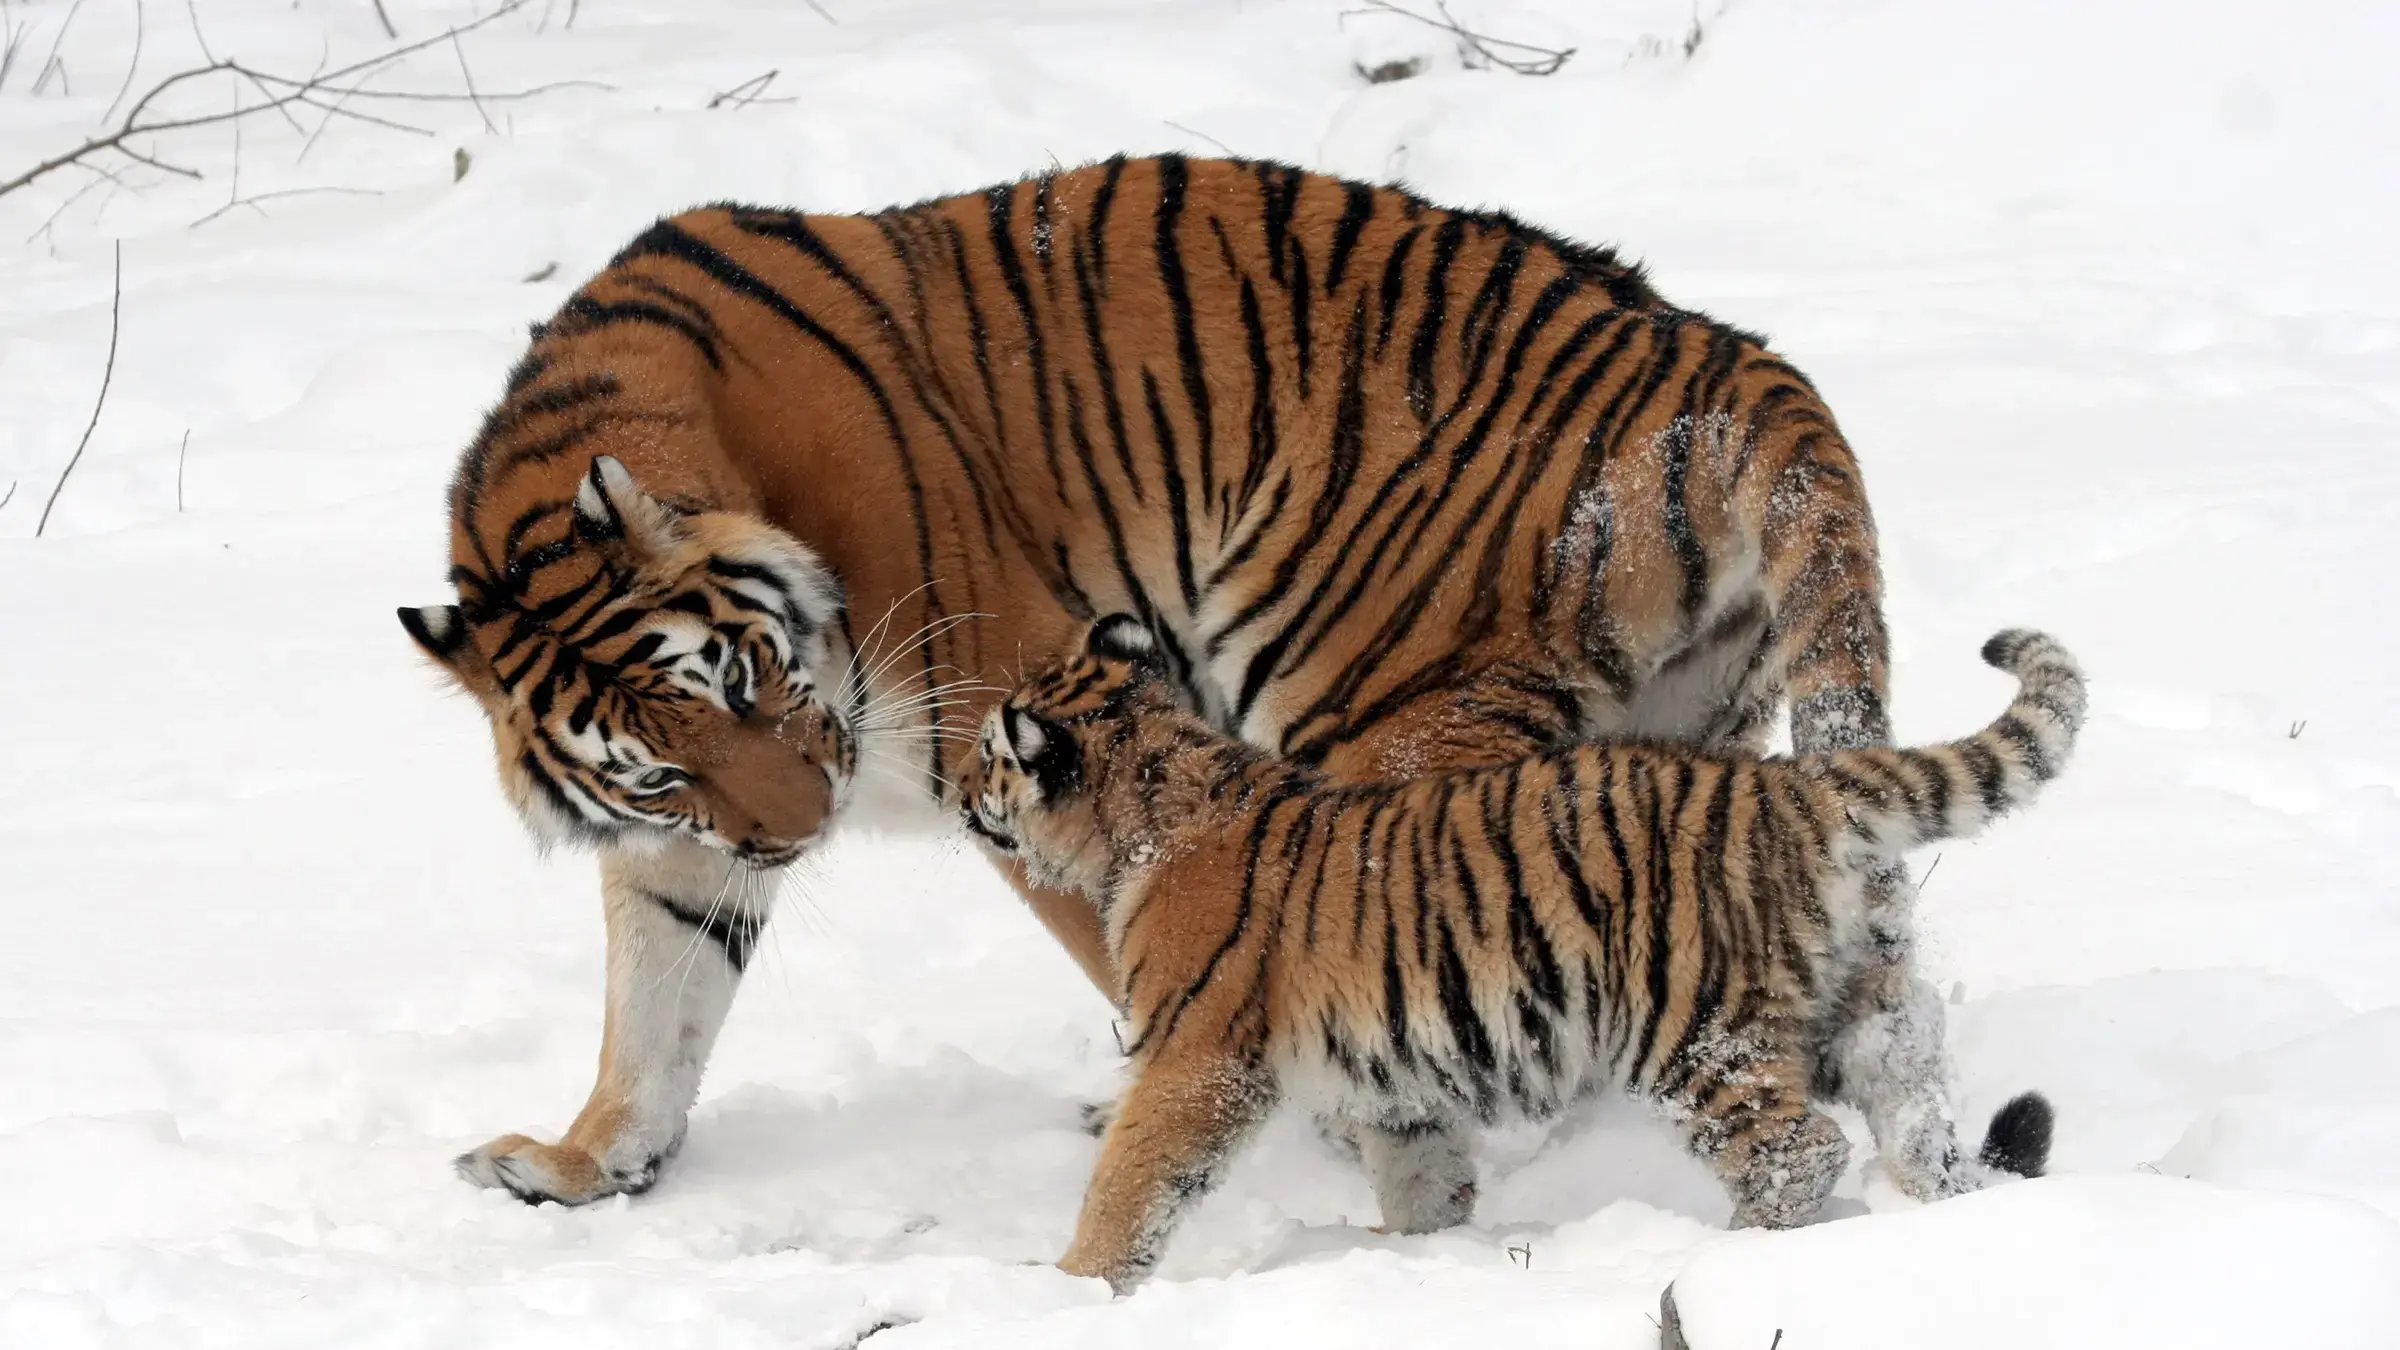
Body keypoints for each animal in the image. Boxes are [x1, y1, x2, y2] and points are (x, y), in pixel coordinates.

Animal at [397, 154, 1912, 1212]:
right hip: (1682, 731)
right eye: (660, 766)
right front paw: (587, 1163)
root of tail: (1718, 355)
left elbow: (1129, 936)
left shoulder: (1015, 714)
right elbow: (656, 1002)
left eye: (749, 677)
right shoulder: (686, 843)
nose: (801, 831)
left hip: (1379, 709)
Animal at [961, 615, 2077, 1292]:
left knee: (1799, 1150)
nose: (963, 792)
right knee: (1911, 1100)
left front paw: (1068, 1290)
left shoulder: (1195, 1059)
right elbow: (1420, 1174)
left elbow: (1132, 1183)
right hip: (1850, 1006)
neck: (1152, 802)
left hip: (1693, 1030)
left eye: (987, 755)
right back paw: (1942, 1214)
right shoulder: (1393, 1080)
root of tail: (1792, 785)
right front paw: (1416, 1252)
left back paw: (1724, 1256)